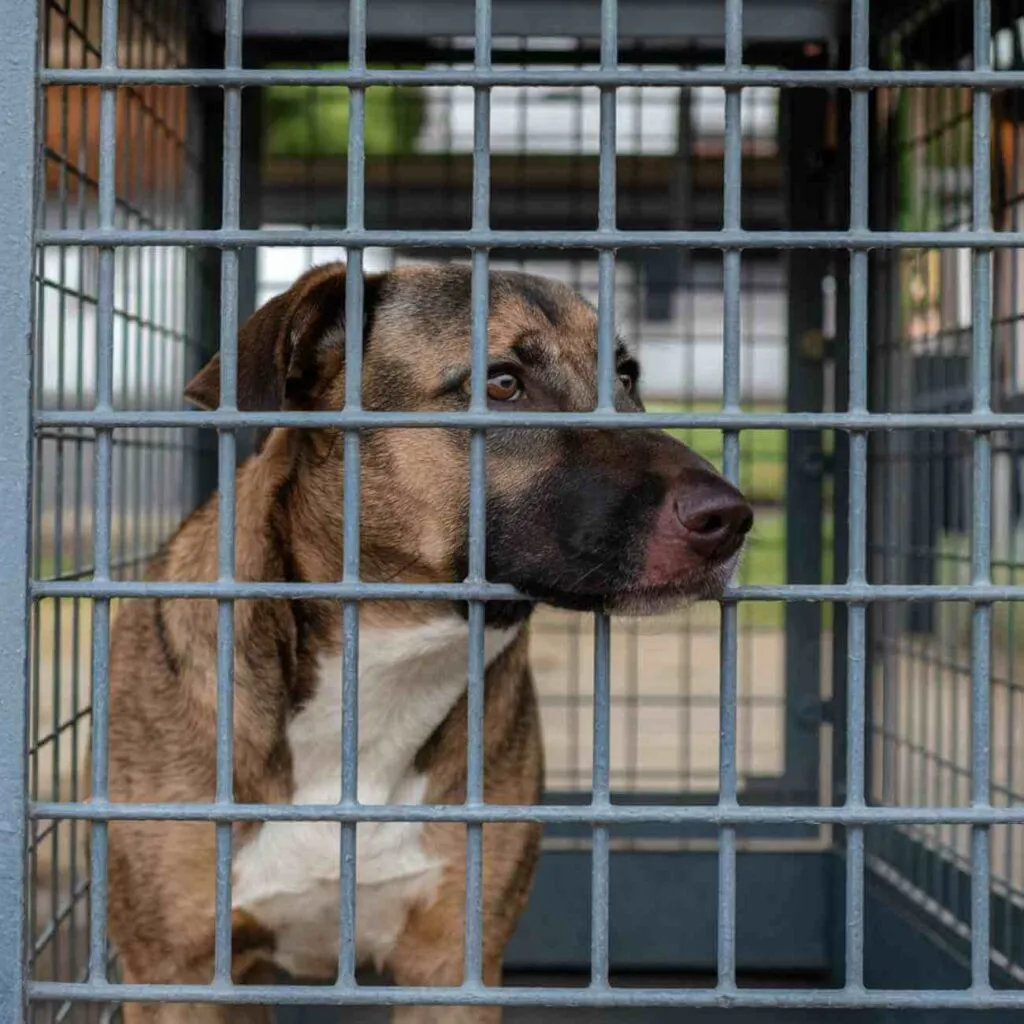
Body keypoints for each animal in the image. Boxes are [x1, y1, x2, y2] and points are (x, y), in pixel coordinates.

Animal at [105, 260, 753, 1019]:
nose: (731, 518)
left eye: (626, 376)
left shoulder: (452, 968)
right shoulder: (178, 974)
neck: (388, 668)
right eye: (502, 383)